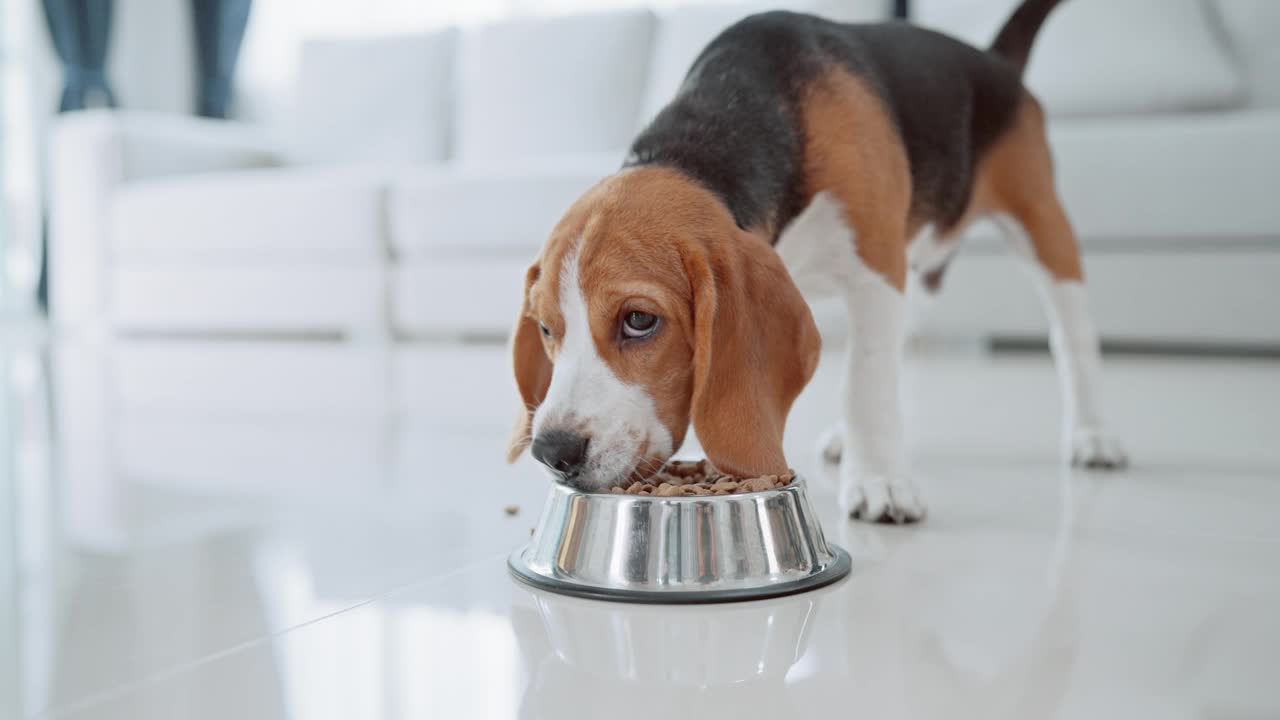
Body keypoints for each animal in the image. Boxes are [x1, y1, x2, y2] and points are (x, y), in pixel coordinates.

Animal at [504, 0, 1126, 517]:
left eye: (639, 320)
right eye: (547, 329)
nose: (552, 451)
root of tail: (993, 60)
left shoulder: (877, 269)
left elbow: (865, 379)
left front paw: (879, 482)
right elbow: (877, 370)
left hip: (1041, 224)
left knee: (1071, 334)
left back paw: (1094, 434)